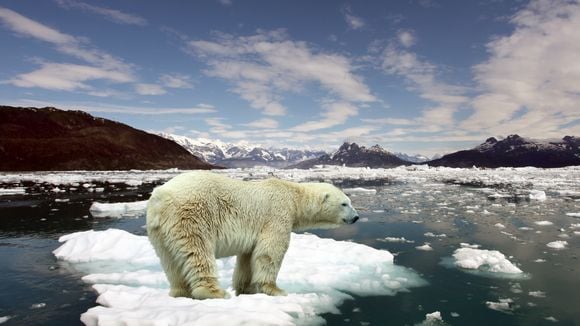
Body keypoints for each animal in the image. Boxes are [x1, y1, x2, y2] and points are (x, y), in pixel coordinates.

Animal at [145, 172, 358, 300]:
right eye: (344, 204)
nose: (356, 217)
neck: (293, 197)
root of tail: (161, 197)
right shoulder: (277, 215)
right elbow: (270, 252)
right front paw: (275, 290)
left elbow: (248, 258)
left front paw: (245, 289)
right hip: (192, 216)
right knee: (198, 252)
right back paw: (214, 292)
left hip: (159, 231)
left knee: (170, 262)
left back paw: (180, 292)